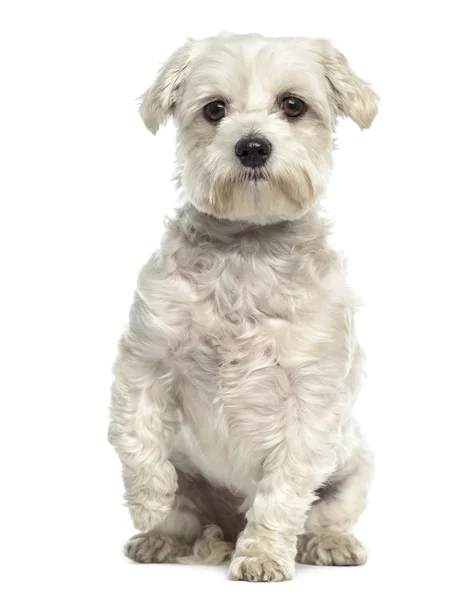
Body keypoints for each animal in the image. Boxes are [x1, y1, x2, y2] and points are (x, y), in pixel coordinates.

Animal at [109, 32, 376, 580]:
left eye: (293, 104)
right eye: (214, 109)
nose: (252, 146)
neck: (247, 249)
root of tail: (226, 528)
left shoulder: (310, 399)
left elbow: (282, 492)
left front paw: (262, 555)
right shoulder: (145, 355)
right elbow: (135, 434)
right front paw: (147, 502)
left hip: (353, 467)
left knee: (325, 514)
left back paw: (328, 543)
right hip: (193, 481)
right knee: (186, 516)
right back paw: (162, 537)